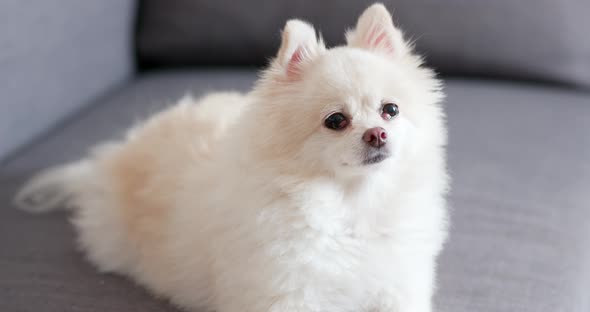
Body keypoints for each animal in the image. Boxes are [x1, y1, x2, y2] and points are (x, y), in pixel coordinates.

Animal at [13, 3, 448, 312]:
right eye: (336, 121)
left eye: (390, 110)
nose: (377, 134)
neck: (352, 205)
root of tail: (120, 151)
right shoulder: (288, 294)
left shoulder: (398, 286)